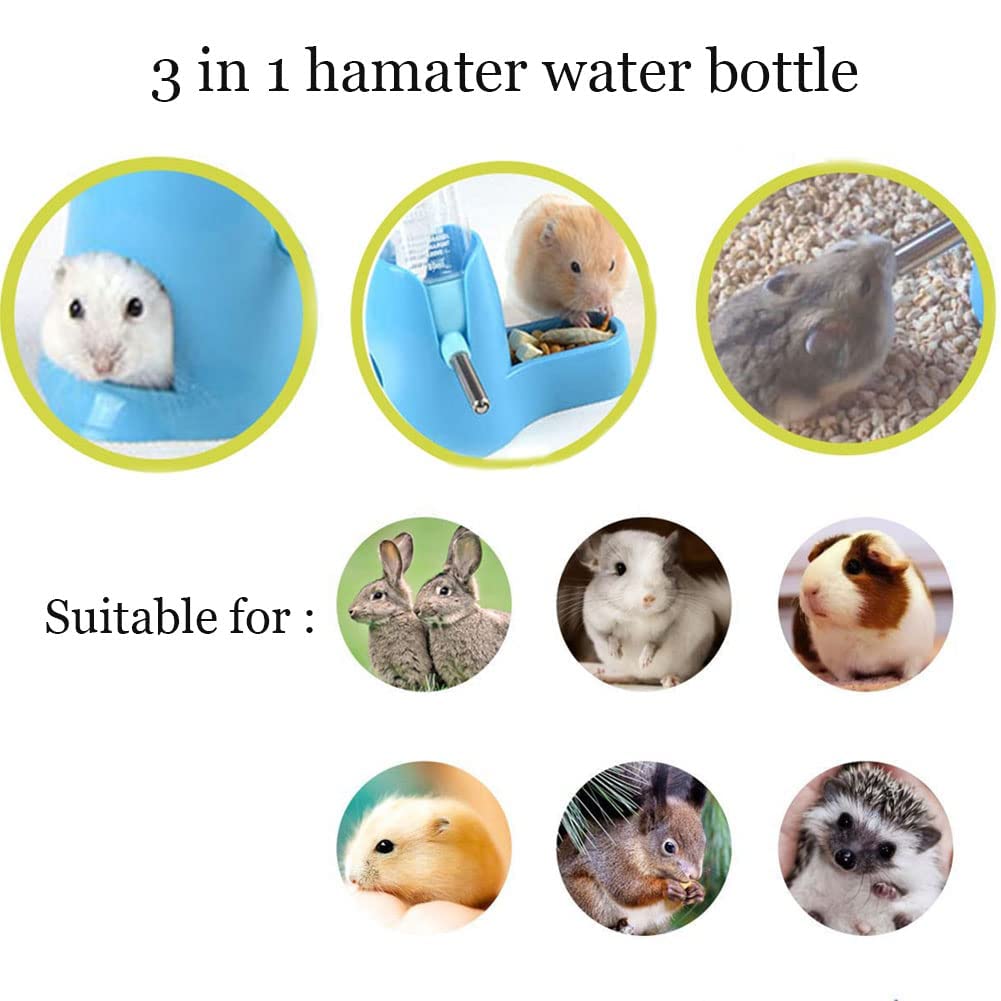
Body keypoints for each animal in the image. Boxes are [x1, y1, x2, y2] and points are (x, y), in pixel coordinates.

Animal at [510, 194, 628, 327]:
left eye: (612, 265)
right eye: (574, 267)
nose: (597, 302)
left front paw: (608, 310)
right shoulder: (537, 298)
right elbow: (562, 309)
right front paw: (583, 320)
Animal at [579, 529, 730, 687]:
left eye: (664, 568)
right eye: (619, 568)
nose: (649, 598)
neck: (638, 615)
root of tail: (648, 679)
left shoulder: (669, 625)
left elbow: (654, 642)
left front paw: (644, 661)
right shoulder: (596, 621)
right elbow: (607, 636)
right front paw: (616, 652)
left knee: (685, 676)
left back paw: (670, 679)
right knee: (632, 677)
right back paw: (606, 675)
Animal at [793, 531, 935, 684]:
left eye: (853, 566)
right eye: (821, 555)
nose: (808, 590)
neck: (861, 630)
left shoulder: (915, 655)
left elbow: (910, 671)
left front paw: (905, 679)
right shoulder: (835, 662)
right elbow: (844, 677)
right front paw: (847, 683)